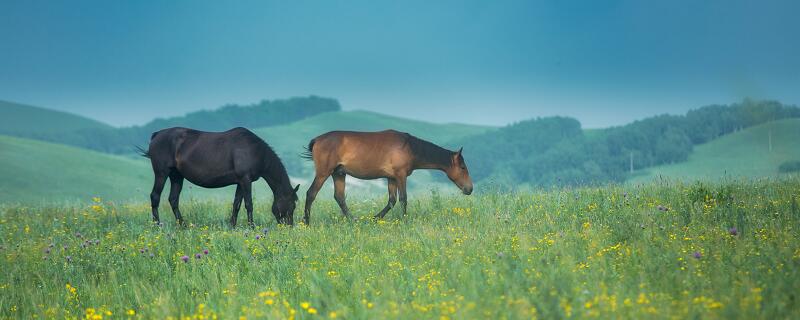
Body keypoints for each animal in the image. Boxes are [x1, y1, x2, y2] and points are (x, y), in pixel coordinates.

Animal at [142, 126, 298, 226]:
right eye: (292, 205)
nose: (289, 227)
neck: (255, 150)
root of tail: (156, 135)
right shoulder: (246, 180)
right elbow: (249, 204)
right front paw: (252, 226)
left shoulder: (240, 182)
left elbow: (236, 204)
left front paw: (232, 226)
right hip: (162, 173)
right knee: (155, 196)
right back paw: (157, 225)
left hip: (176, 176)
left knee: (173, 199)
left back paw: (183, 225)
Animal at [304, 129, 472, 224]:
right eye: (463, 167)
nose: (469, 189)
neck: (409, 147)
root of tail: (317, 140)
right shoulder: (401, 175)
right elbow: (403, 199)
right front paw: (404, 221)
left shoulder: (391, 178)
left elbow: (391, 200)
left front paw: (375, 219)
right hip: (324, 173)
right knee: (311, 193)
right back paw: (306, 222)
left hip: (338, 173)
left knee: (339, 197)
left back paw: (354, 221)